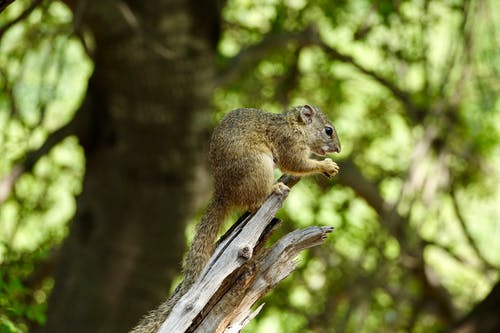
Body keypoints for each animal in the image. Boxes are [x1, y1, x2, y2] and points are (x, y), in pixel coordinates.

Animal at [130, 104, 340, 332]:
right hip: (258, 166)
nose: (339, 149)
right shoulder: (287, 142)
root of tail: (224, 193)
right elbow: (296, 163)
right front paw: (326, 166)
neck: (295, 126)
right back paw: (274, 188)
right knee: (254, 203)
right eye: (328, 130)